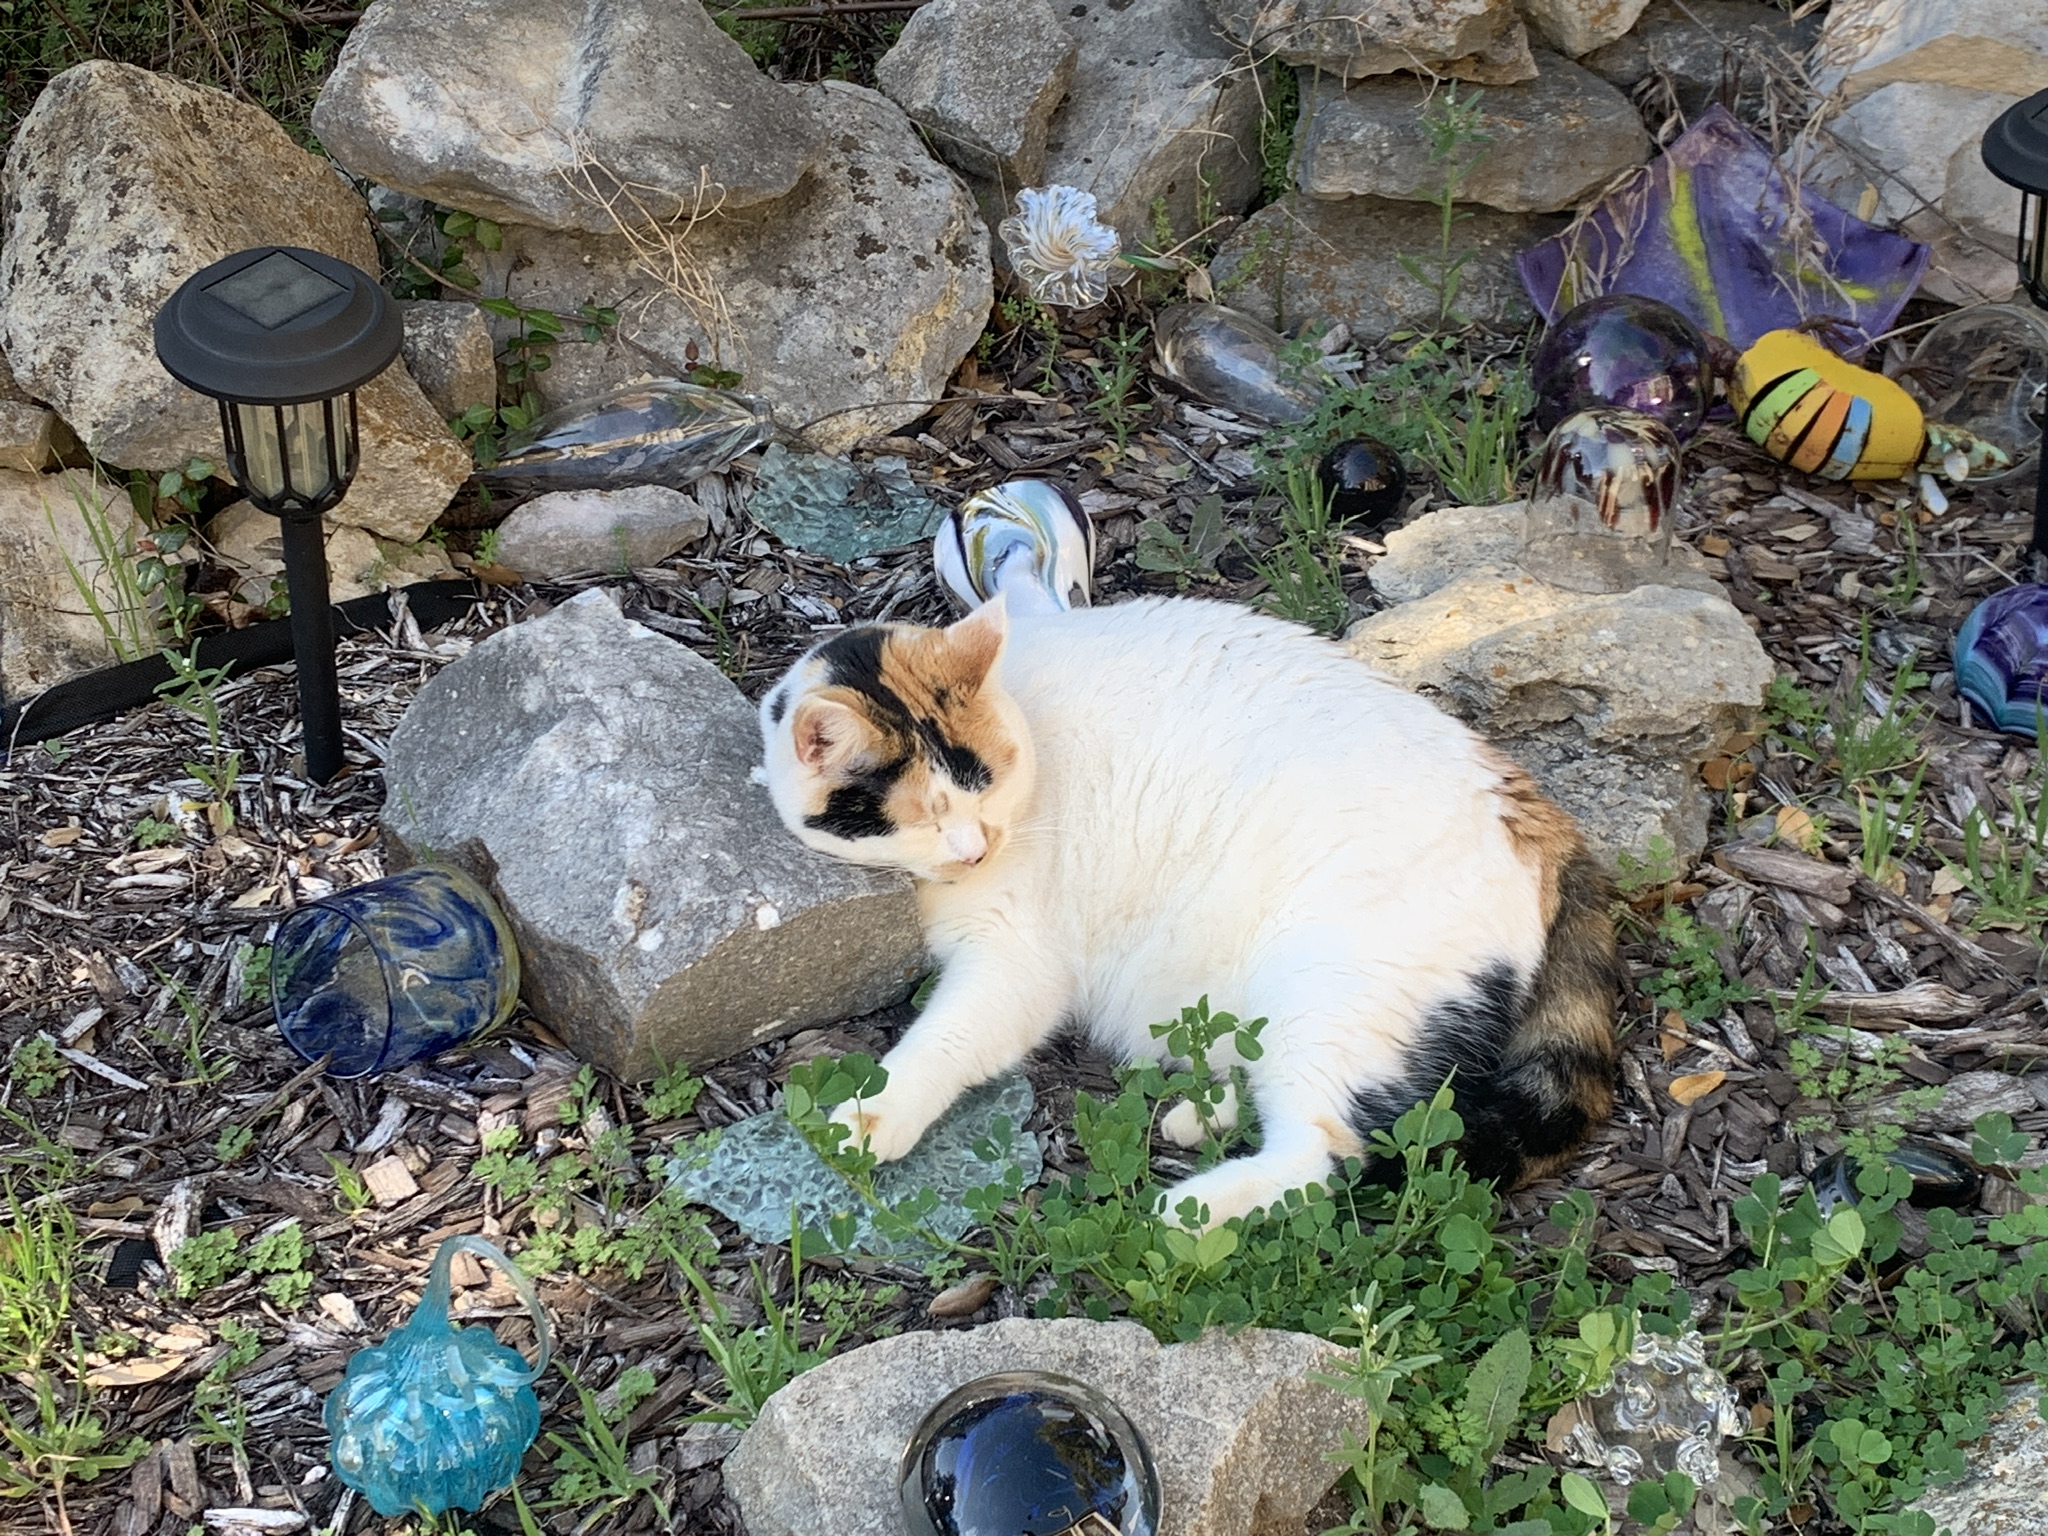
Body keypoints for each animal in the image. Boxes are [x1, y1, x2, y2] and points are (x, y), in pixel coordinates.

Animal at [753, 593, 1613, 1236]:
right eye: (926, 816)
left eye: (986, 784)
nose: (975, 847)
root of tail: (1541, 816)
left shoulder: (1018, 959)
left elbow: (947, 1039)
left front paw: (875, 1115)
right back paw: (1201, 1114)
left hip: (1335, 984)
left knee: (1330, 1151)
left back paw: (1194, 1205)